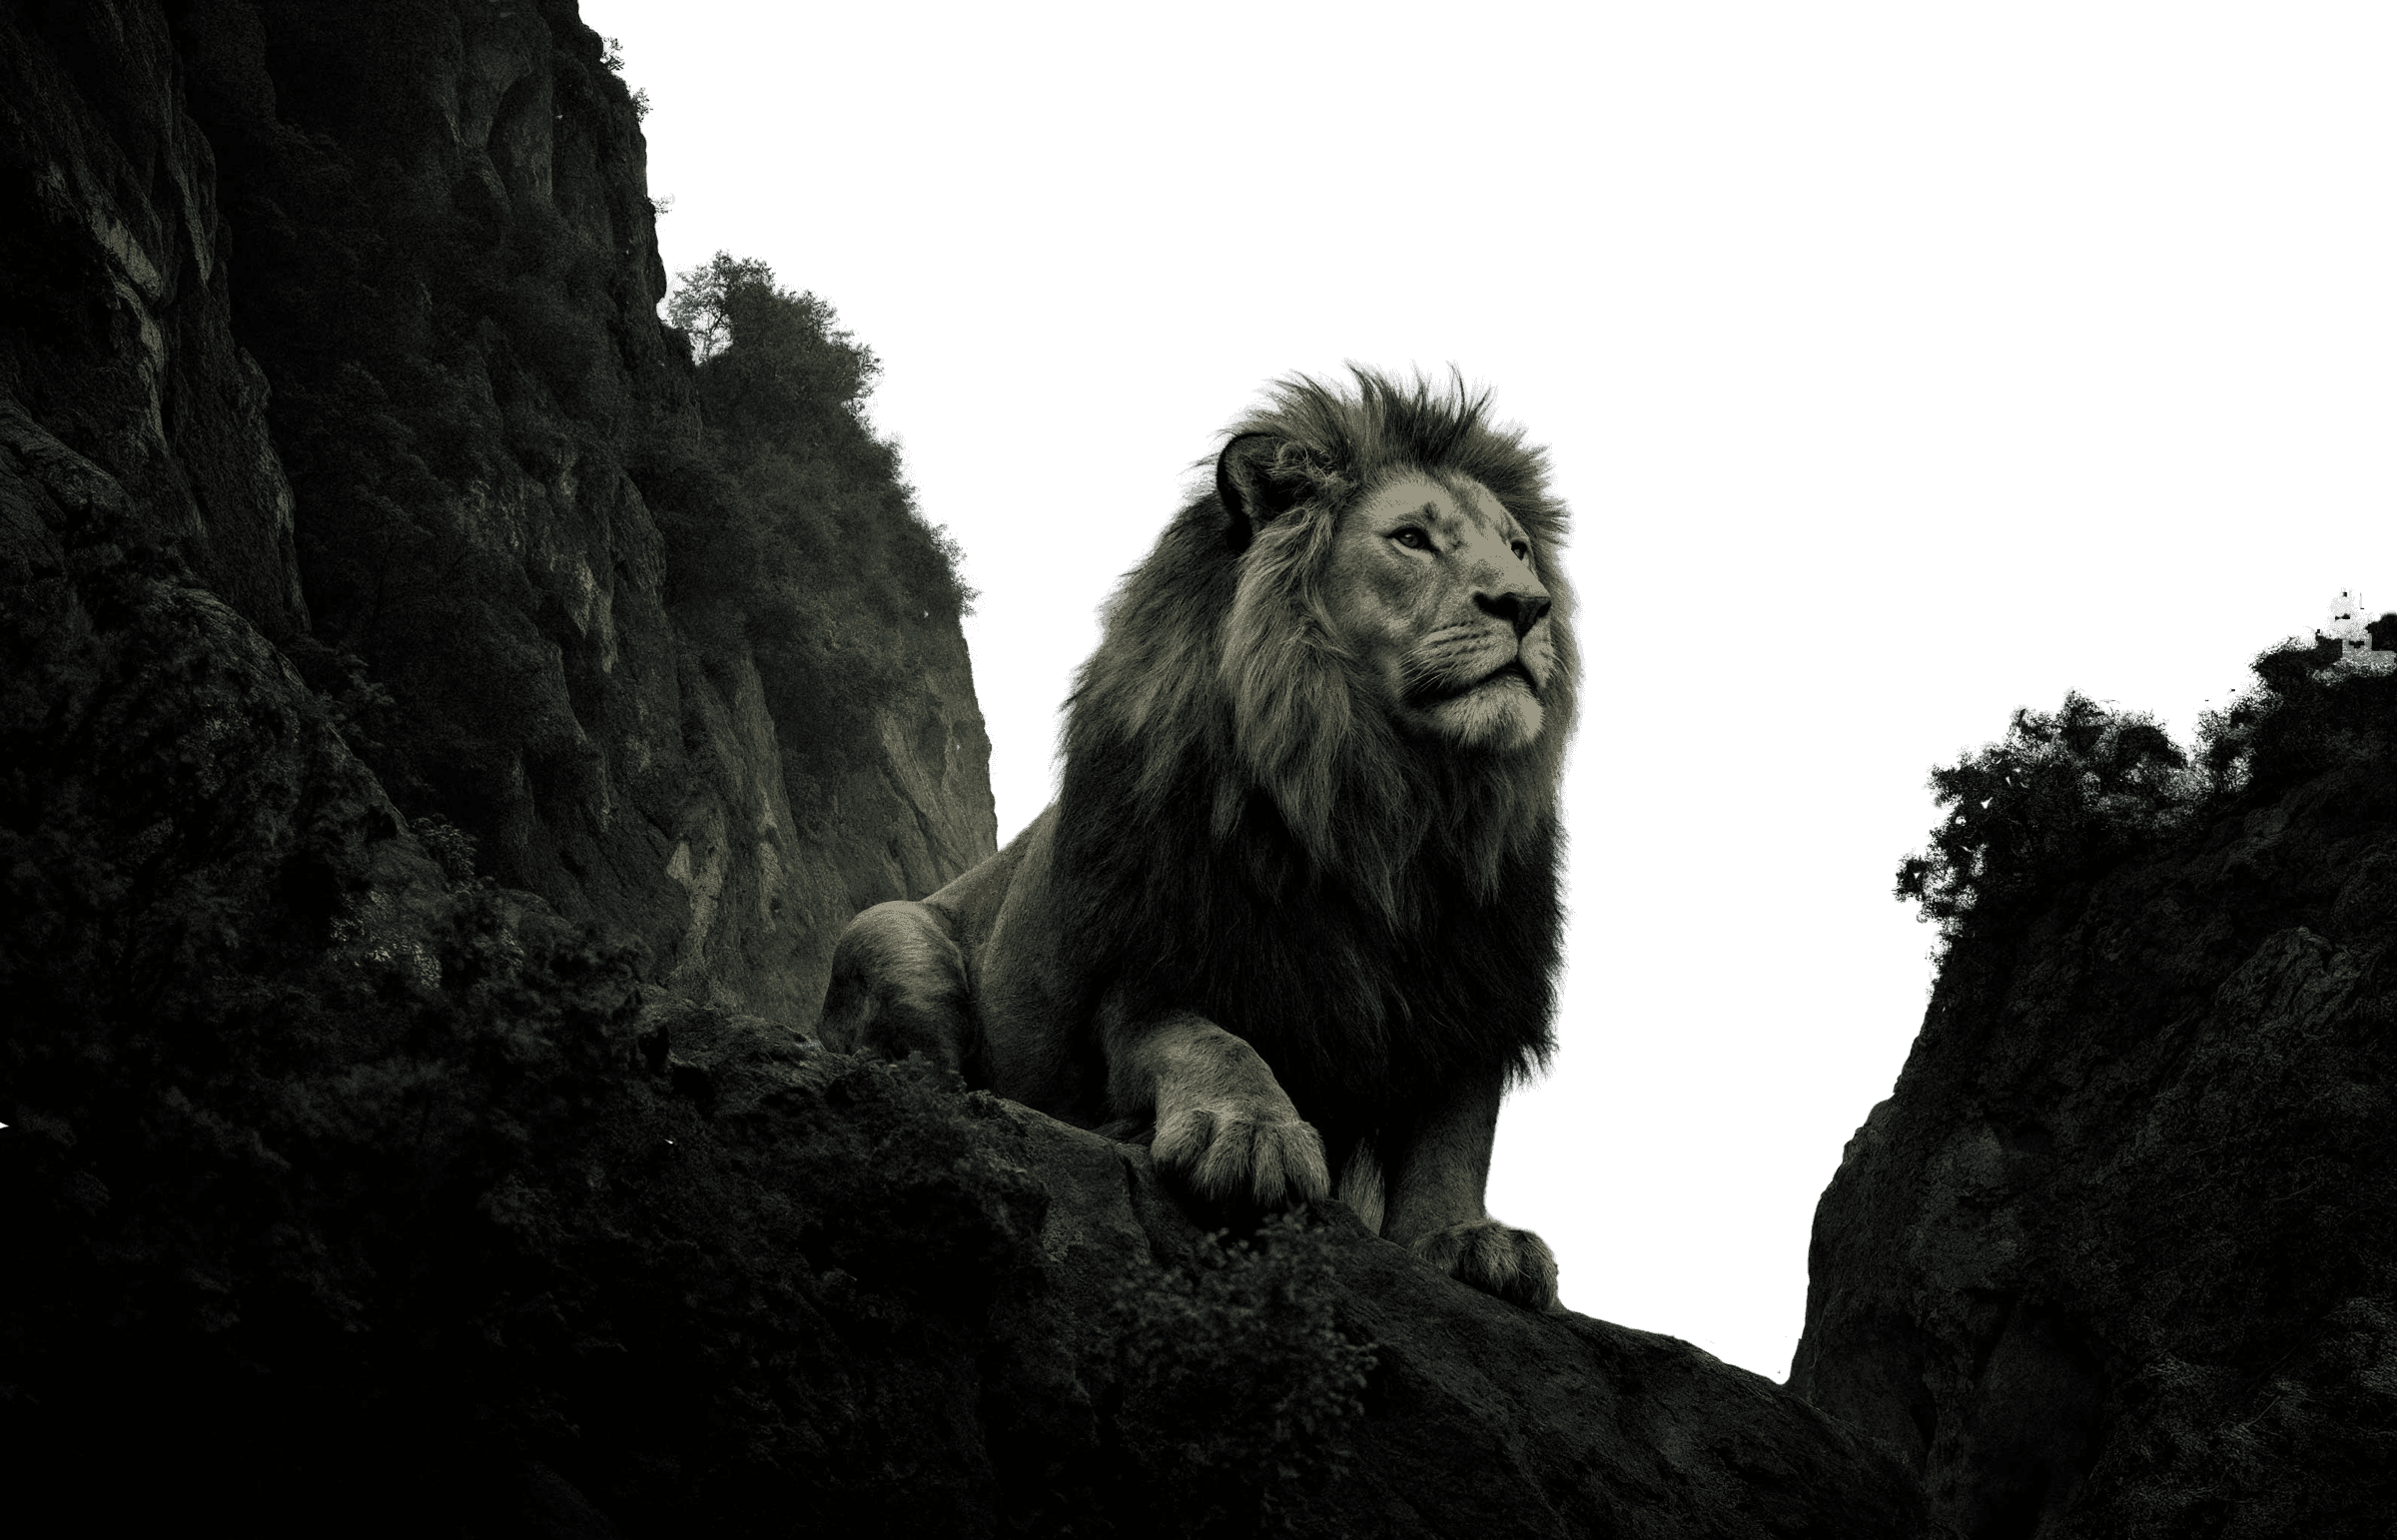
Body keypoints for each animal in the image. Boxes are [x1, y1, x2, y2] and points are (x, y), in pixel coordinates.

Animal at [821, 364, 1579, 1310]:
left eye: (1518, 550)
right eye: (1411, 539)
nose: (1528, 607)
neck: (1382, 800)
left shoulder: (1476, 983)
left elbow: (1455, 1132)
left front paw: (1468, 1236)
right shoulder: (1151, 953)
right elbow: (1207, 1038)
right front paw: (1247, 1133)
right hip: (892, 934)